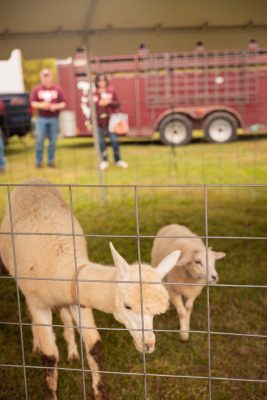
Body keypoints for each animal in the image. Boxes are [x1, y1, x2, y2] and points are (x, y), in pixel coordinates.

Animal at [0, 180, 180, 400]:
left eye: (157, 313)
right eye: (127, 306)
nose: (148, 344)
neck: (63, 268)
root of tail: (32, 180)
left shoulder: (78, 300)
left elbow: (93, 345)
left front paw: (99, 391)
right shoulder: (39, 303)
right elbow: (49, 356)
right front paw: (51, 392)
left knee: (65, 316)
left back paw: (72, 352)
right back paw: (36, 344)